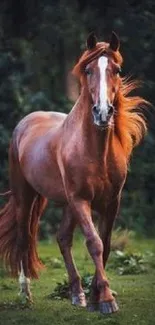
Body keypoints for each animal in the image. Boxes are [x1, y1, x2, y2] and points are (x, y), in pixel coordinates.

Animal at [0, 32, 148, 312]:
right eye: (88, 70)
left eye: (117, 70)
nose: (103, 113)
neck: (95, 151)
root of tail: (26, 122)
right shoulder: (81, 200)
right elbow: (94, 242)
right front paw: (106, 300)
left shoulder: (111, 203)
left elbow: (106, 244)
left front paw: (95, 296)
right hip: (26, 196)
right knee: (24, 238)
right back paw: (26, 295)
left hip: (67, 204)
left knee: (62, 238)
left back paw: (77, 294)